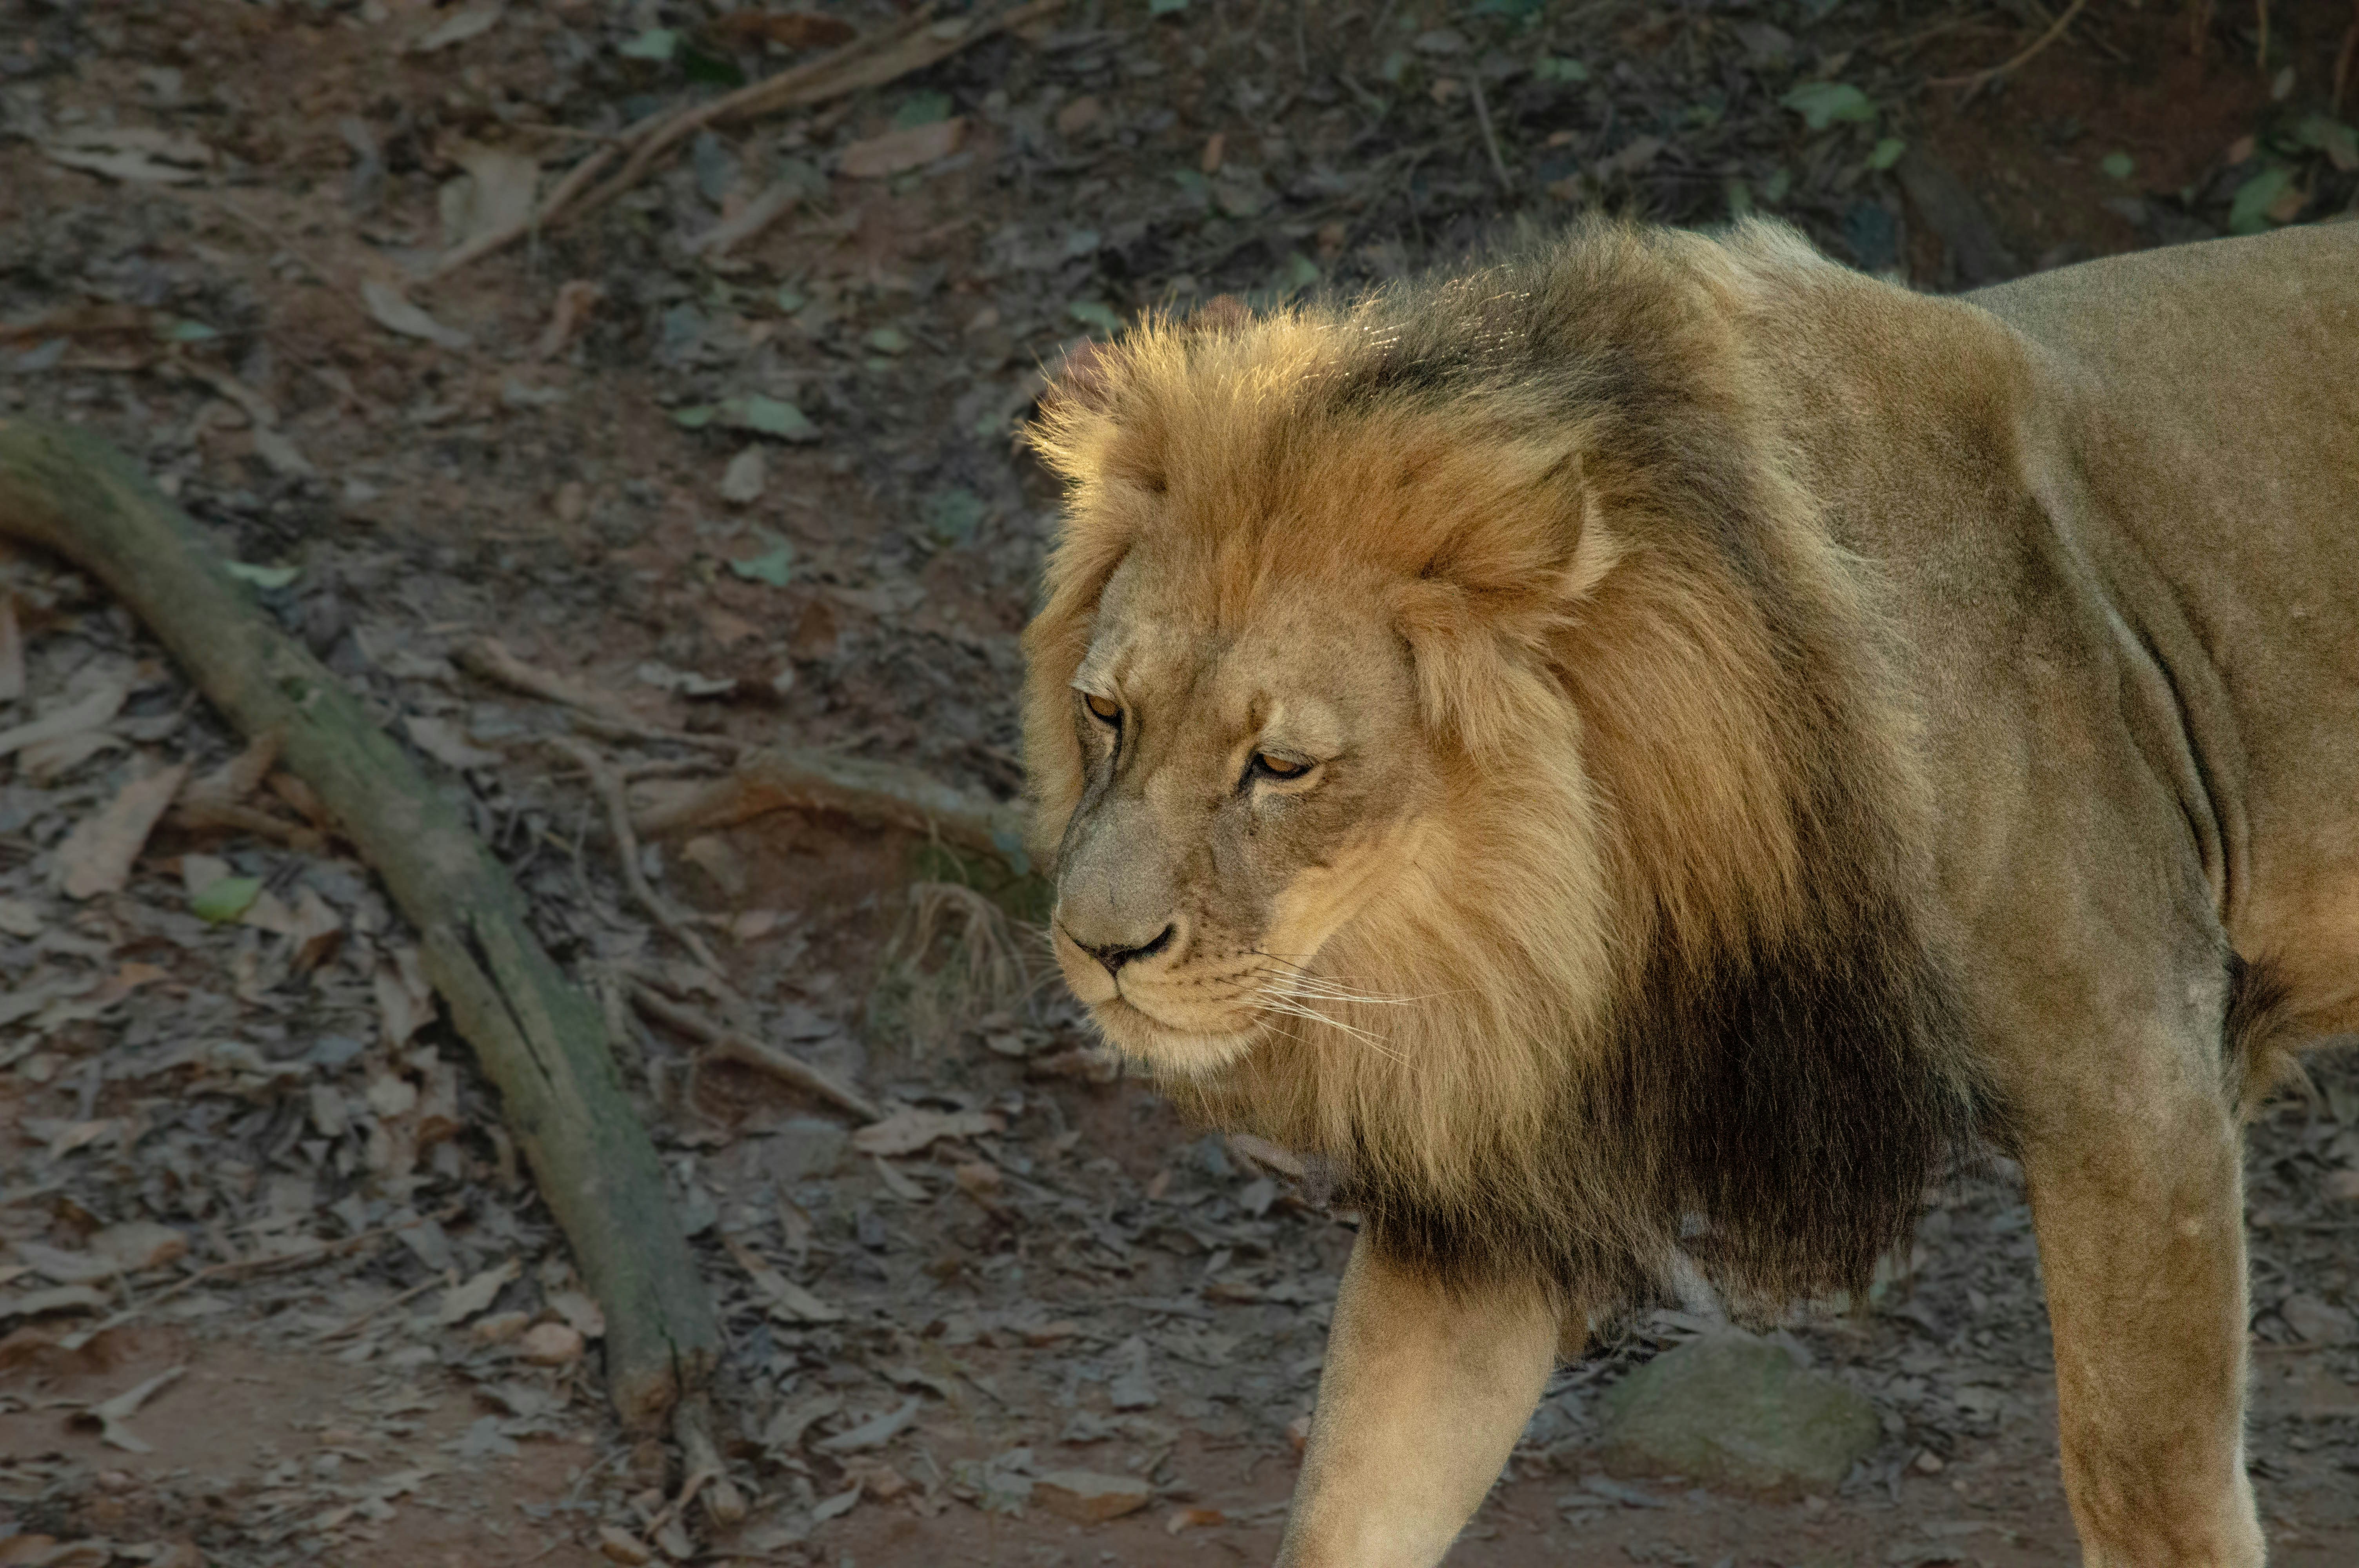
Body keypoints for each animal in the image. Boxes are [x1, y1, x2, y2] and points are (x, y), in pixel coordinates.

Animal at [1020, 214, 2359, 1567]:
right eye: (1107, 715)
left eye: (1281, 766)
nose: (1094, 946)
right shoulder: (1506, 1191)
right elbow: (1361, 1482)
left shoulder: (2138, 1087)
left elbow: (2150, 1483)